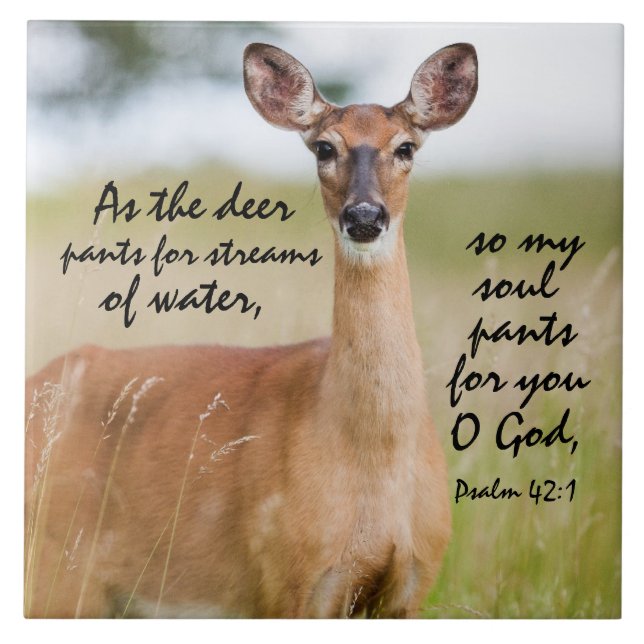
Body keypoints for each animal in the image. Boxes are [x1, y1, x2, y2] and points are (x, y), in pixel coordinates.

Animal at [24, 42, 478, 618]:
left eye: (406, 147)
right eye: (323, 147)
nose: (364, 216)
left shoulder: (411, 586)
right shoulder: (289, 579)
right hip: (55, 577)